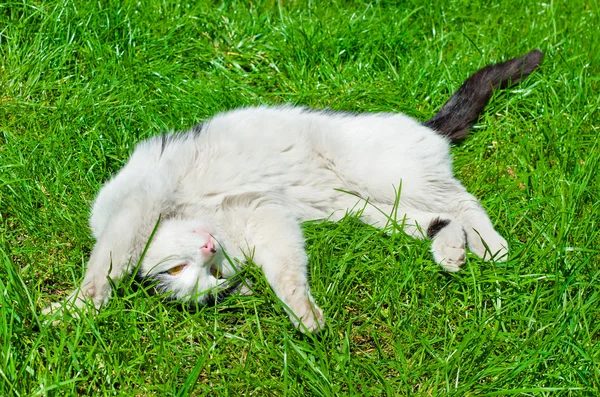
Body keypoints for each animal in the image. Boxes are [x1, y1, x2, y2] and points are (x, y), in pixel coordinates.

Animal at [44, 48, 544, 332]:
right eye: (210, 276)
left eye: (177, 268)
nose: (208, 248)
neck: (206, 220)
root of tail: (424, 126)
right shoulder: (264, 215)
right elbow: (284, 269)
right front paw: (304, 315)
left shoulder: (136, 201)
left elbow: (111, 261)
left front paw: (75, 309)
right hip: (370, 208)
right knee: (439, 218)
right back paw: (451, 252)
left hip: (385, 172)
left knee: (463, 200)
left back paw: (491, 246)